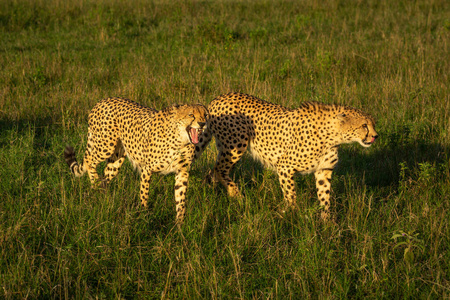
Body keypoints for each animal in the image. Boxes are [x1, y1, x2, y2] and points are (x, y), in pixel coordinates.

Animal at [64, 96, 208, 223]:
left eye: (205, 115)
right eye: (191, 115)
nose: (202, 123)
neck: (180, 140)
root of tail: (102, 100)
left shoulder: (182, 172)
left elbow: (181, 199)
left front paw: (179, 224)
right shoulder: (147, 169)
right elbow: (144, 193)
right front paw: (143, 215)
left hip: (116, 159)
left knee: (106, 174)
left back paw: (101, 194)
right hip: (105, 146)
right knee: (88, 160)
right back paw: (94, 182)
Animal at [195, 92, 378, 219]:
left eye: (373, 124)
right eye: (364, 125)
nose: (375, 136)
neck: (333, 136)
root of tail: (218, 98)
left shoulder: (323, 170)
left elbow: (324, 197)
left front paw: (327, 222)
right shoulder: (284, 167)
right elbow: (290, 194)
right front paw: (292, 215)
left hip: (226, 148)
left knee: (214, 170)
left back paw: (208, 191)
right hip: (236, 146)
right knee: (219, 170)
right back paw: (237, 196)